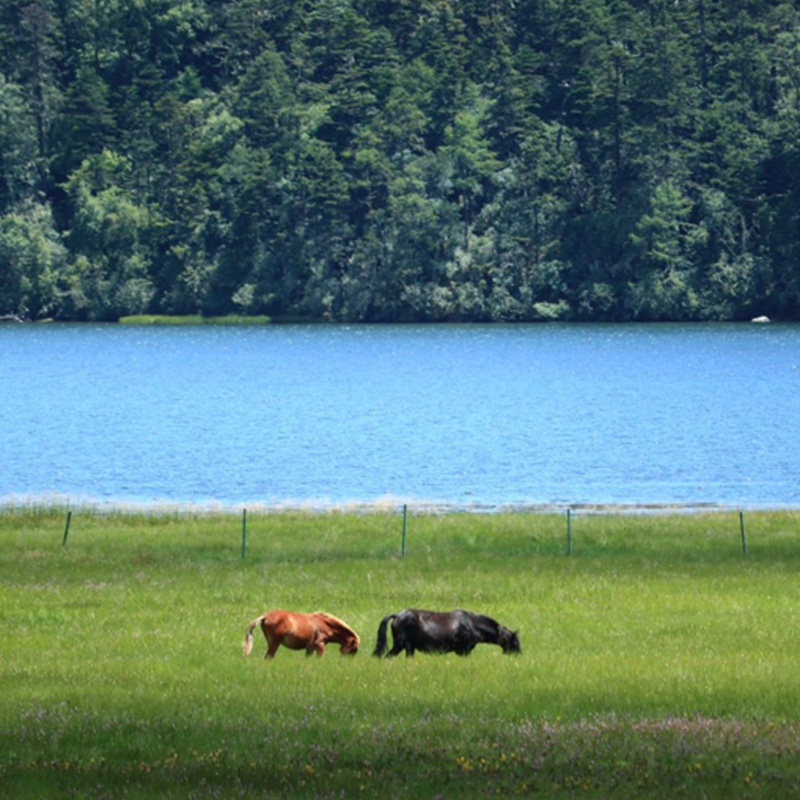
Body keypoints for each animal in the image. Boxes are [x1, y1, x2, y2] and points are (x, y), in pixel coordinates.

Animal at [372, 608, 521, 657]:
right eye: (515, 642)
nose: (519, 655)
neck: (472, 624)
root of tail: (397, 615)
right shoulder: (464, 650)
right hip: (402, 646)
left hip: (408, 648)